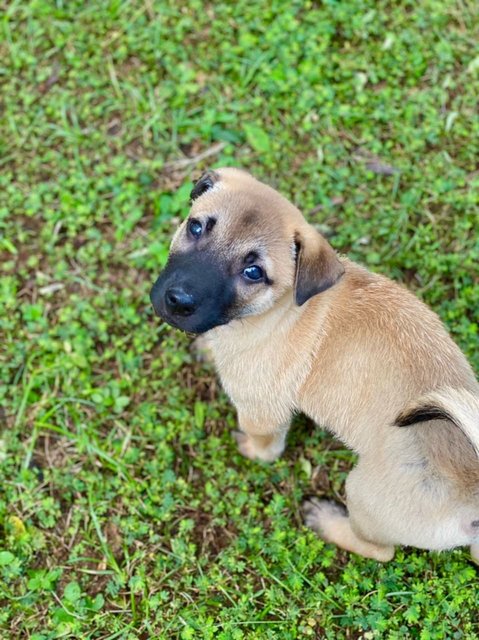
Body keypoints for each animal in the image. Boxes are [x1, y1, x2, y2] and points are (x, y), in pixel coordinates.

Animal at [150, 168, 479, 564]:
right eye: (196, 227)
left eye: (253, 271)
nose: (176, 301)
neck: (279, 309)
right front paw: (207, 346)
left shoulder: (261, 411)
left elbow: (266, 446)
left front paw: (252, 450)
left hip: (364, 495)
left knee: (381, 551)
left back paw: (326, 521)